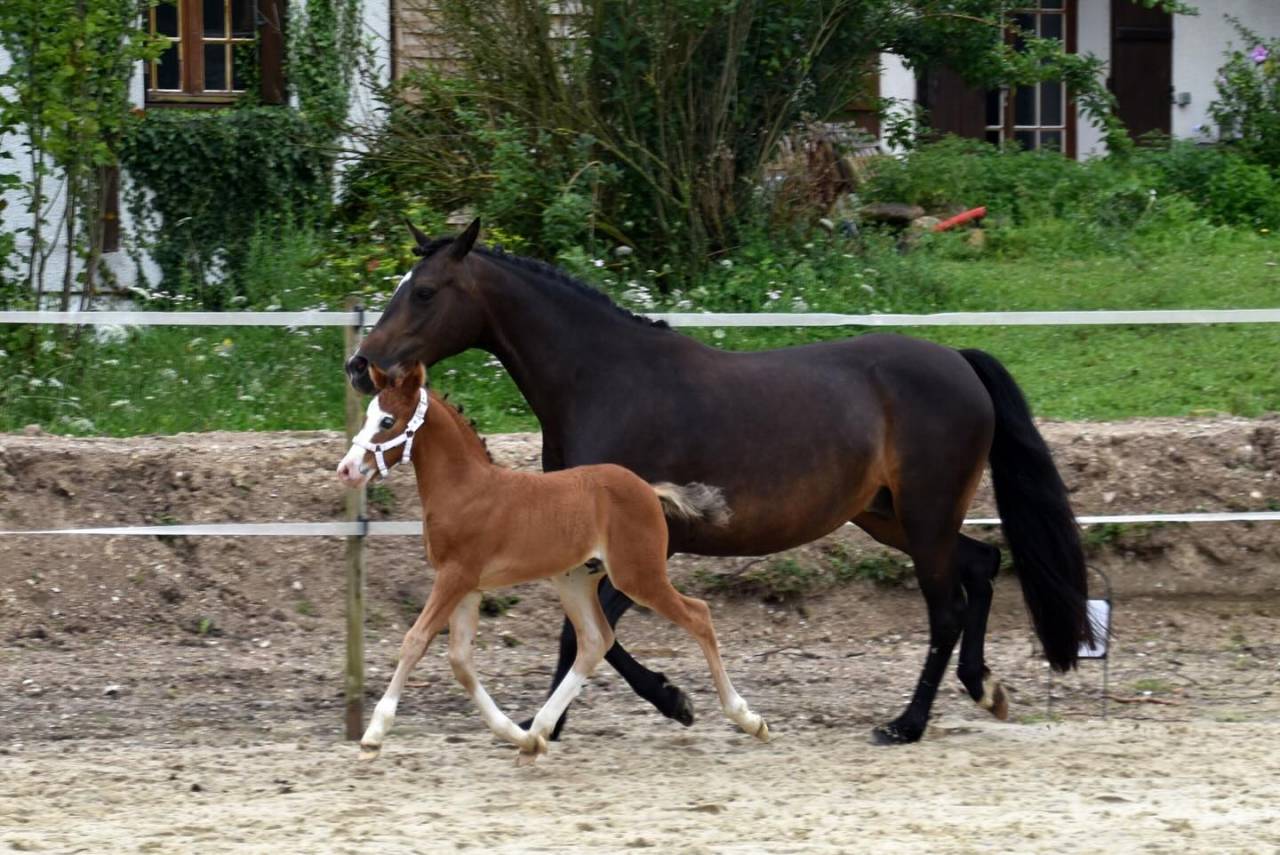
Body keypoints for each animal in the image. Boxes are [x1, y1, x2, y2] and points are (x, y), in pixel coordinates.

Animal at [335, 361, 769, 762]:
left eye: (387, 420)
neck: (466, 489)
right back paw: (538, 732)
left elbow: (414, 641)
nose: (347, 469)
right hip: (574, 580)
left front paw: (373, 735)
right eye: (369, 414)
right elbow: (460, 661)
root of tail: (648, 488)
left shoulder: (455, 577)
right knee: (595, 640)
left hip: (638, 575)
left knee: (697, 615)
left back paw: (749, 719)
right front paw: (518, 736)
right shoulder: (467, 587)